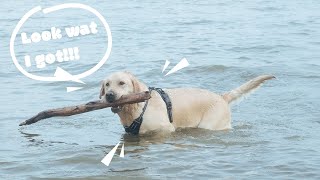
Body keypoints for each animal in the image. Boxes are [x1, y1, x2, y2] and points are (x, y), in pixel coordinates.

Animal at [99, 71, 274, 134]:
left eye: (121, 83)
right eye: (107, 84)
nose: (109, 95)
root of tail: (222, 97)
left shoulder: (166, 129)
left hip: (210, 124)